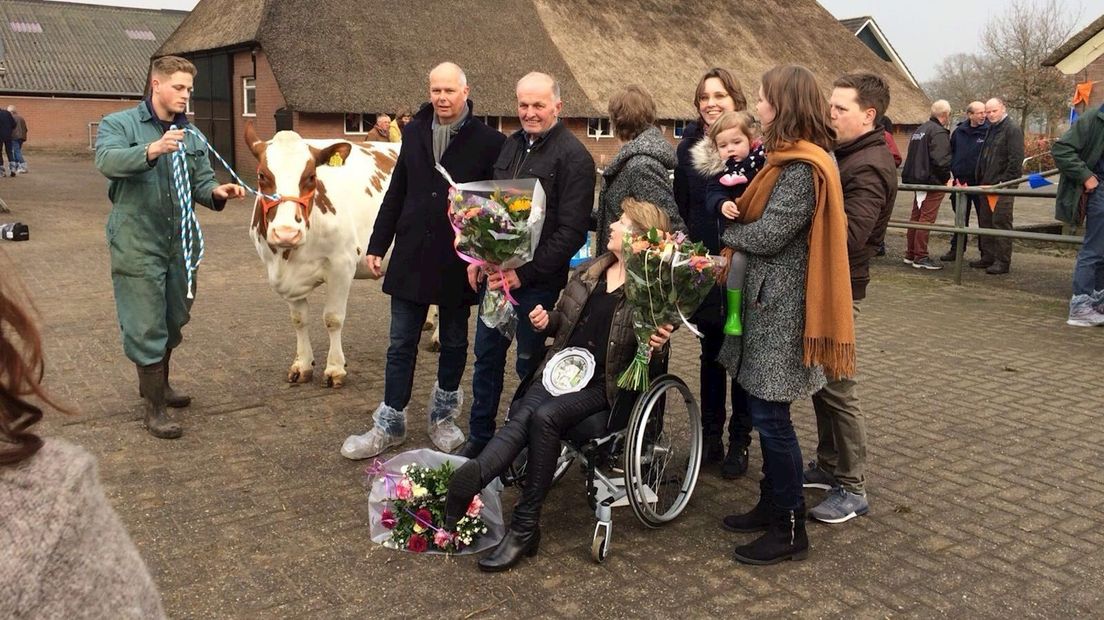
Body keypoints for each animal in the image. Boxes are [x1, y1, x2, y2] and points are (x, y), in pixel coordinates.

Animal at [243, 123, 399, 386]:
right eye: (262, 176)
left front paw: (335, 368)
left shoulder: (342, 265)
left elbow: (333, 318)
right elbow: (299, 319)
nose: (287, 233)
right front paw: (302, 365)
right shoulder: (280, 272)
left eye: (311, 177)